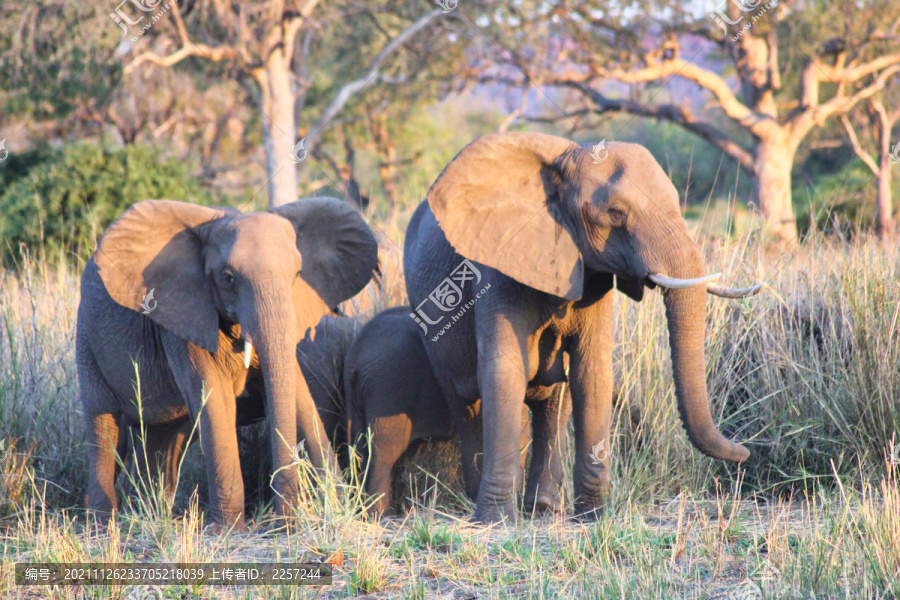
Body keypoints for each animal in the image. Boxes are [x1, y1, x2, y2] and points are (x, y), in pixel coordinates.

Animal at [74, 198, 376, 528]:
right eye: (228, 278)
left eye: (298, 274)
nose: (283, 521)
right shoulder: (183, 317)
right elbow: (215, 400)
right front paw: (228, 530)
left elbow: (299, 394)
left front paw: (343, 508)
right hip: (87, 338)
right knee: (104, 423)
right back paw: (103, 524)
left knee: (162, 435)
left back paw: (154, 516)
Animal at [404, 134, 764, 524]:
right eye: (616, 213)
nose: (745, 455)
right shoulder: (496, 265)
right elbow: (504, 373)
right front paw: (496, 520)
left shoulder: (594, 275)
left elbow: (591, 373)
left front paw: (593, 516)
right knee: (465, 403)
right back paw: (485, 502)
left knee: (553, 400)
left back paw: (544, 508)